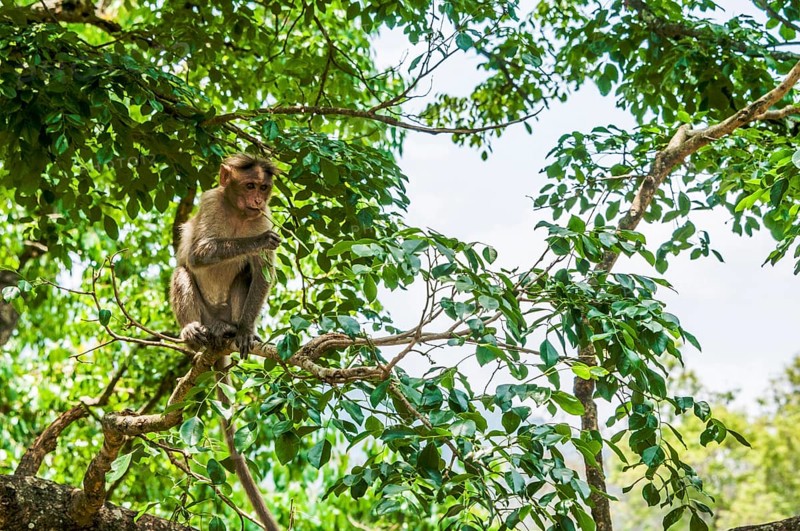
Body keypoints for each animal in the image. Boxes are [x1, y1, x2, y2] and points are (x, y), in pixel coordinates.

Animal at [170, 153, 281, 531]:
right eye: (249, 186)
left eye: (264, 188)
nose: (257, 200)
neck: (238, 214)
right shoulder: (210, 202)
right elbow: (199, 252)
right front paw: (257, 242)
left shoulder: (264, 217)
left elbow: (262, 274)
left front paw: (247, 330)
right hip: (204, 314)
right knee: (183, 270)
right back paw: (193, 334)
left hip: (227, 311)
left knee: (246, 275)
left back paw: (234, 331)